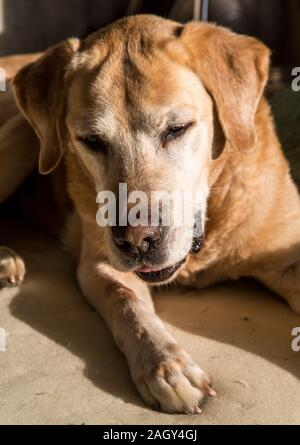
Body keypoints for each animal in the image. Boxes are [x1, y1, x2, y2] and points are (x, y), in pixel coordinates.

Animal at [0, 16, 300, 412]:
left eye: (177, 129)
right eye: (91, 141)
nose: (136, 241)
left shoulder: (286, 254)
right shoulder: (99, 263)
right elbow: (127, 303)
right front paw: (165, 365)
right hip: (20, 136)